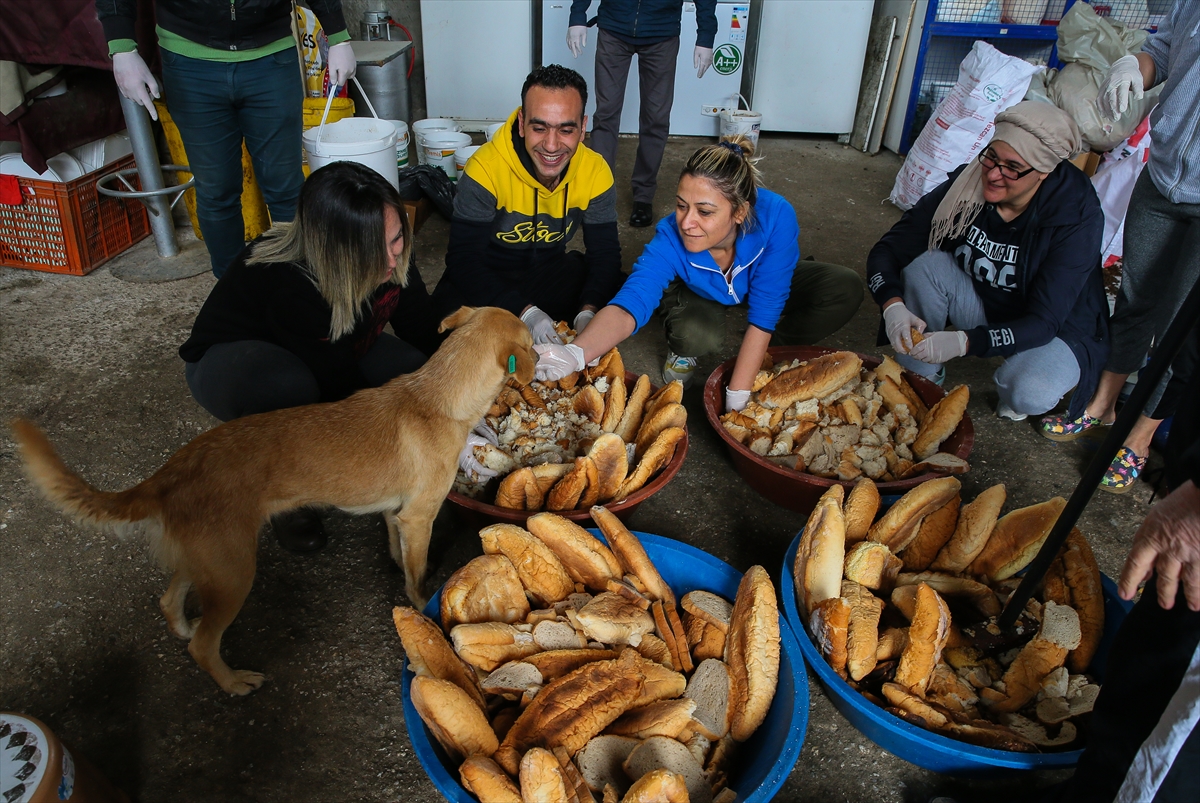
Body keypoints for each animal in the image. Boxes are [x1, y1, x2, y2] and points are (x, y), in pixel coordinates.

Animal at [10, 307, 535, 696]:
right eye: (530, 343)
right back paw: (232, 682)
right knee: (203, 646)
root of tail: (169, 472)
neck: (437, 396)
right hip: (235, 572)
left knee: (169, 599)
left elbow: (396, 553)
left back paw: (183, 626)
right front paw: (420, 600)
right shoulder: (419, 517)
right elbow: (416, 574)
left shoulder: (396, 514)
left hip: (208, 559)